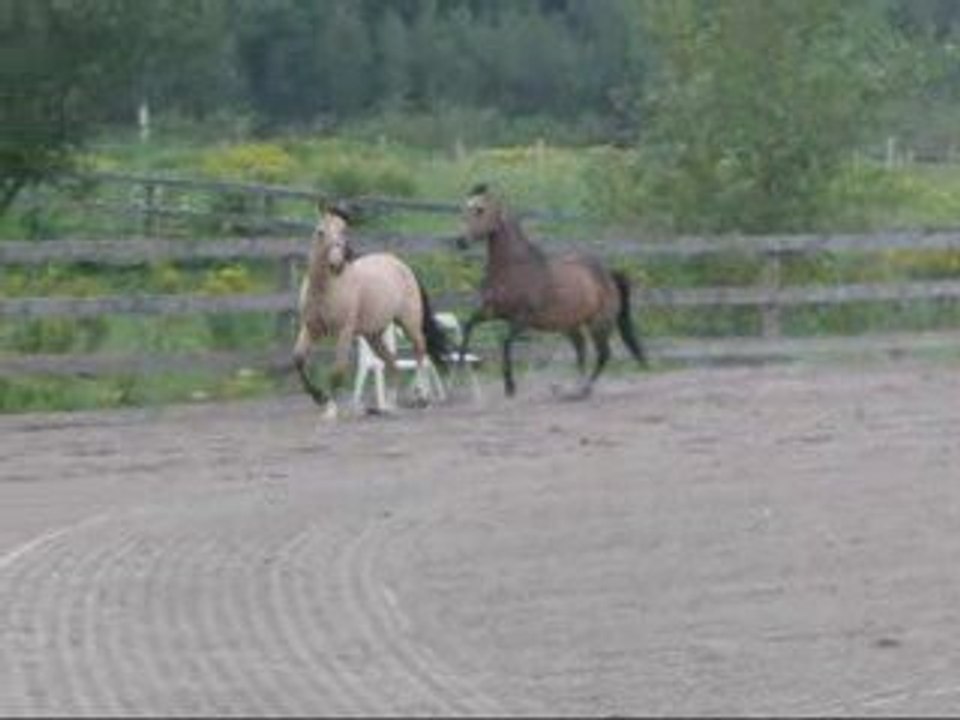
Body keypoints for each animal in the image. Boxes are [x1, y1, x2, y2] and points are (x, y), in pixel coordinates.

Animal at [292, 202, 450, 419]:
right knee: (392, 363)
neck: (326, 289)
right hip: (373, 335)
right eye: (320, 232)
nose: (336, 264)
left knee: (420, 350)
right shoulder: (310, 328)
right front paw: (319, 397)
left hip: (408, 323)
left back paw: (421, 396)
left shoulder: (344, 332)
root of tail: (402, 265)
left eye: (344, 230)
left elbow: (337, 370)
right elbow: (298, 360)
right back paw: (388, 406)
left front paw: (330, 409)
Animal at [456, 184, 647, 398]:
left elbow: (505, 343)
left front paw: (510, 386)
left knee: (603, 354)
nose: (460, 241)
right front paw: (458, 370)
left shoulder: (522, 319)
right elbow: (468, 326)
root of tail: (608, 274)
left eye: (480, 210)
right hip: (570, 326)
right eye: (465, 209)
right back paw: (575, 388)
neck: (513, 269)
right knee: (581, 349)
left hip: (599, 324)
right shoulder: (492, 311)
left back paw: (584, 389)